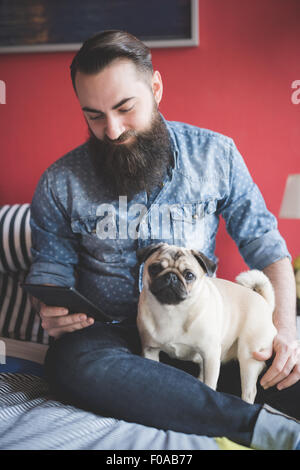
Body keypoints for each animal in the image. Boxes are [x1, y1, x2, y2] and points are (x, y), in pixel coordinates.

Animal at [136, 242, 276, 404]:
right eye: (155, 268)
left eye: (189, 275)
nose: (171, 276)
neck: (173, 310)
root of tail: (265, 302)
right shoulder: (150, 350)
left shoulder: (210, 354)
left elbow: (209, 384)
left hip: (248, 355)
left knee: (249, 390)